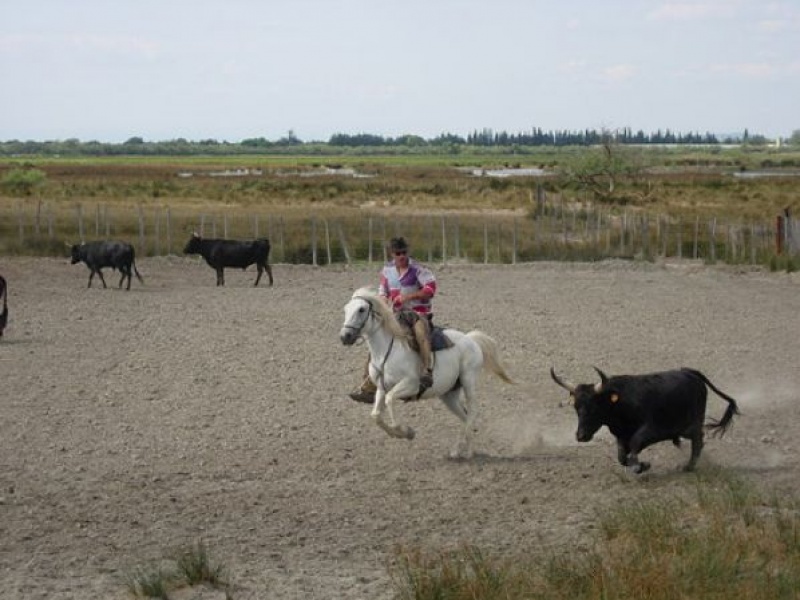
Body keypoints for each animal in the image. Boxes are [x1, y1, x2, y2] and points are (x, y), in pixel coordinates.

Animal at [340, 288, 512, 458]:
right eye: (346, 309)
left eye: (361, 309)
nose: (345, 337)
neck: (387, 351)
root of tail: (471, 339)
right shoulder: (382, 388)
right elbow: (375, 415)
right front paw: (397, 433)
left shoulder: (411, 385)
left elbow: (390, 400)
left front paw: (407, 432)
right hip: (449, 394)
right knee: (464, 416)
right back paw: (460, 451)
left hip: (468, 380)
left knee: (472, 412)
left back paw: (466, 452)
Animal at [548, 366, 740, 474]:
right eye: (576, 408)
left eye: (593, 407)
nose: (580, 436)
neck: (620, 402)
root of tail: (689, 372)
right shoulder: (620, 436)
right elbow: (621, 457)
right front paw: (640, 465)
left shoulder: (651, 429)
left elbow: (635, 444)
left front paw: (640, 466)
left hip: (692, 424)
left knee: (698, 440)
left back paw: (688, 467)